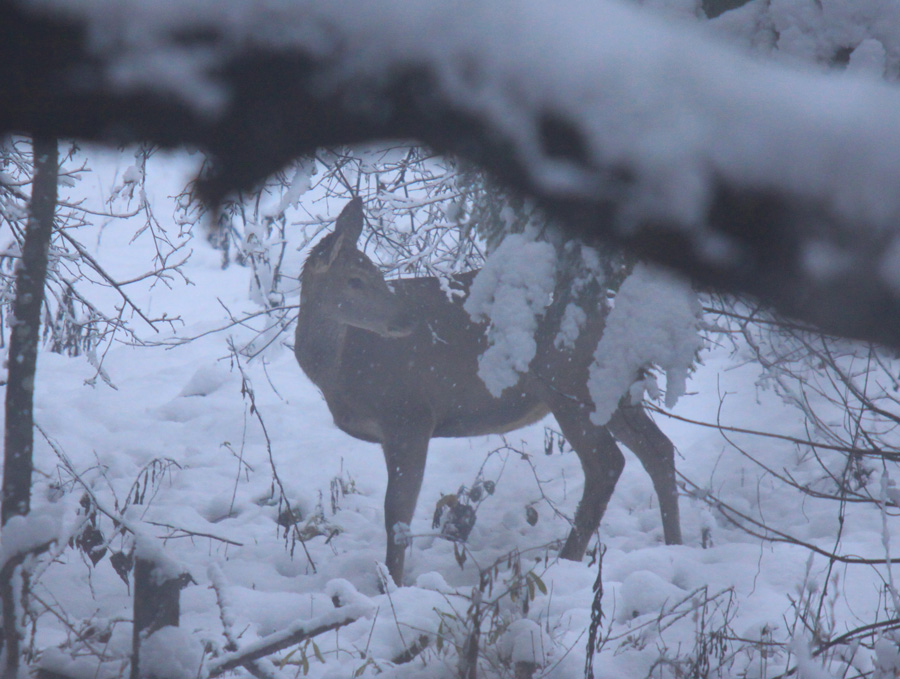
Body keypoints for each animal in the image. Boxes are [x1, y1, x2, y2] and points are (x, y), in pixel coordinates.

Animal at [296, 197, 684, 584]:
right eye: (355, 280)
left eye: (375, 274)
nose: (408, 321)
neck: (340, 369)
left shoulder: (410, 415)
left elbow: (397, 511)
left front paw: (391, 582)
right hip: (612, 385)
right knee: (658, 449)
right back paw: (675, 546)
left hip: (570, 382)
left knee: (607, 463)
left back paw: (567, 559)